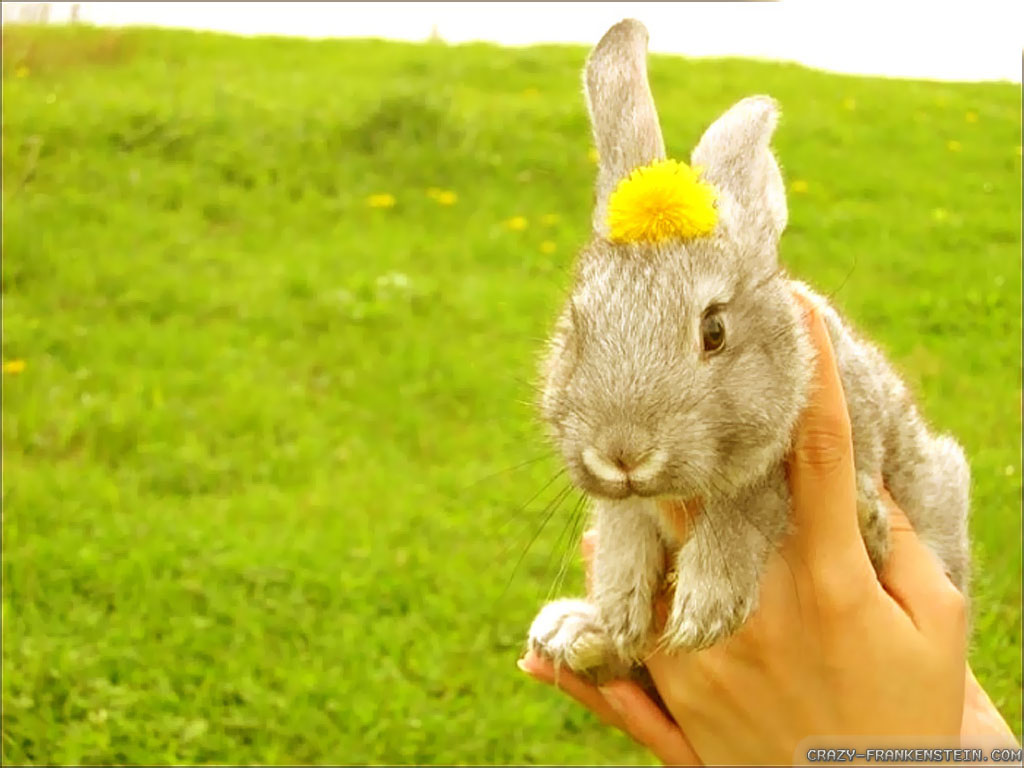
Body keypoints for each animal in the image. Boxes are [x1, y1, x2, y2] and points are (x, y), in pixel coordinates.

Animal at [525, 18, 971, 684]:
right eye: (577, 326)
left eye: (713, 331)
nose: (622, 454)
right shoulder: (628, 506)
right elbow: (624, 525)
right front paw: (615, 613)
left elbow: (748, 501)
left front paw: (706, 608)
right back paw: (576, 634)